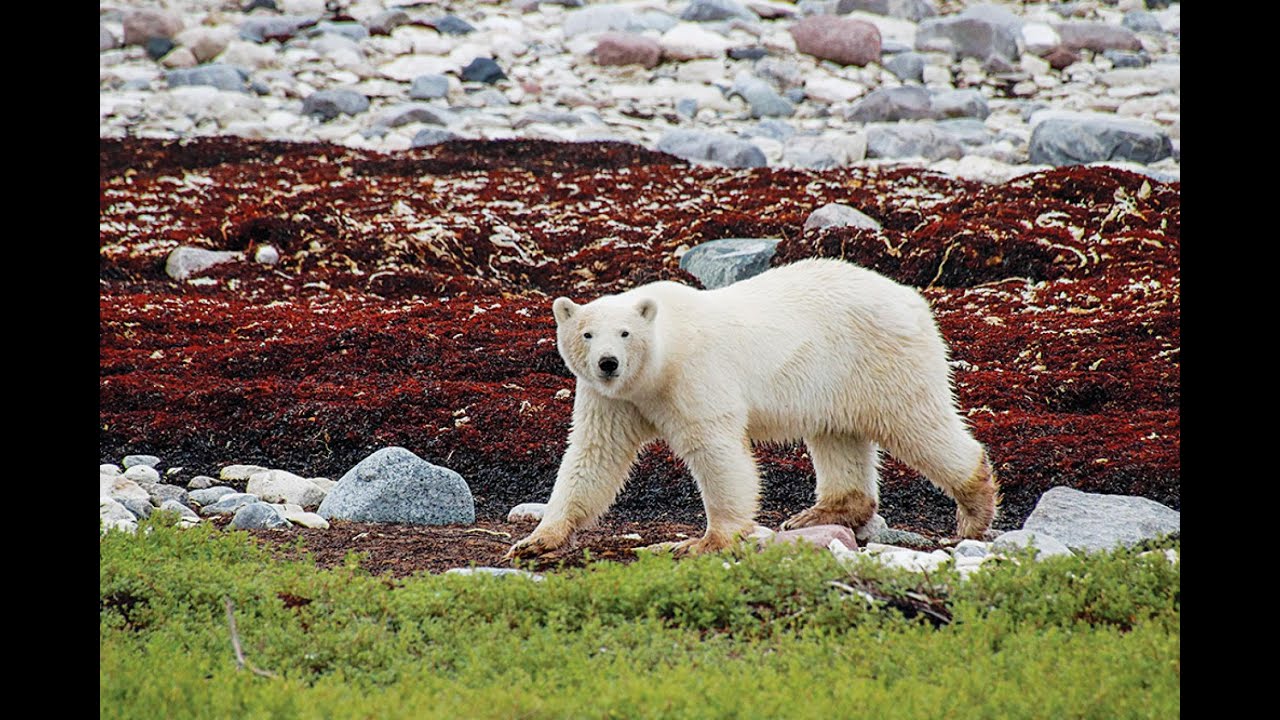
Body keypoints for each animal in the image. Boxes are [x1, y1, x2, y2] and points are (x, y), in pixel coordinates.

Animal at [506, 254, 998, 558]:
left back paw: (974, 507)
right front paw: (536, 539)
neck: (659, 364)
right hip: (834, 379)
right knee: (837, 435)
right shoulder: (614, 398)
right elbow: (593, 455)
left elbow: (717, 450)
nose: (608, 362)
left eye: (625, 333)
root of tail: (913, 297)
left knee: (916, 422)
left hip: (881, 359)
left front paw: (704, 541)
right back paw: (819, 512)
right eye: (587, 333)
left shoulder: (694, 376)